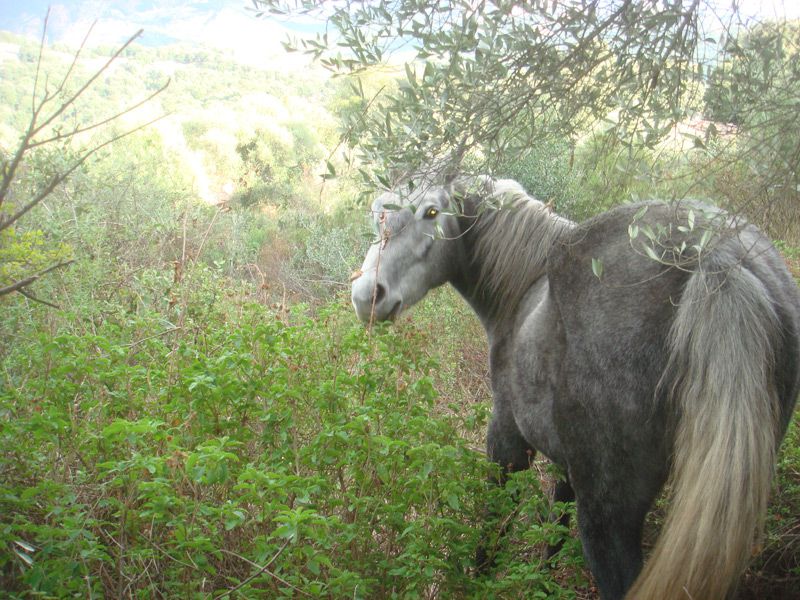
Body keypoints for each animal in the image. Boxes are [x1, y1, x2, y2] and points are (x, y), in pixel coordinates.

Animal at [350, 175, 800, 600]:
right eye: (377, 214)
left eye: (430, 212)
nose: (367, 295)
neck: (524, 287)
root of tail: (717, 258)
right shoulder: (567, 464)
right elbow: (554, 530)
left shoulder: (508, 442)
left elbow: (494, 522)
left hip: (608, 517)